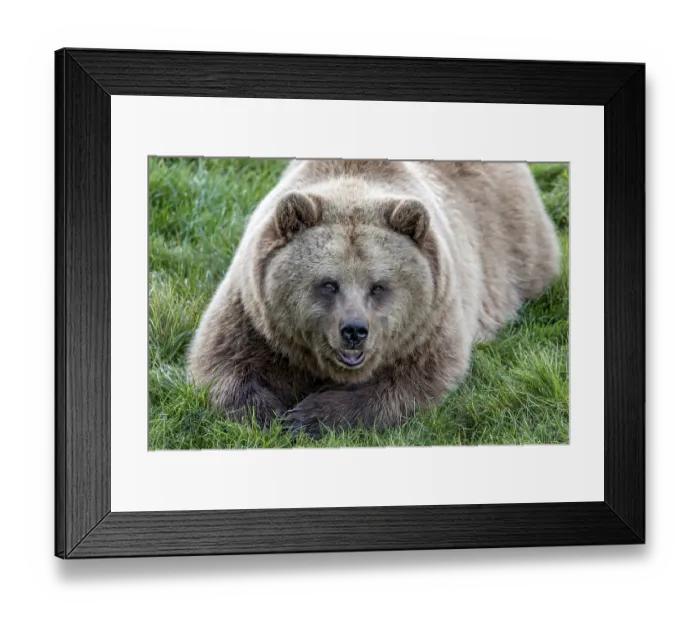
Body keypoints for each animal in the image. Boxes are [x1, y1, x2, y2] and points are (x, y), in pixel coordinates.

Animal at [187, 160, 561, 436]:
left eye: (378, 286)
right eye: (329, 284)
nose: (354, 330)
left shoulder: (430, 323)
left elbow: (411, 384)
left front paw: (309, 416)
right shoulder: (254, 313)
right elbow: (221, 364)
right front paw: (270, 416)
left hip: (514, 248)